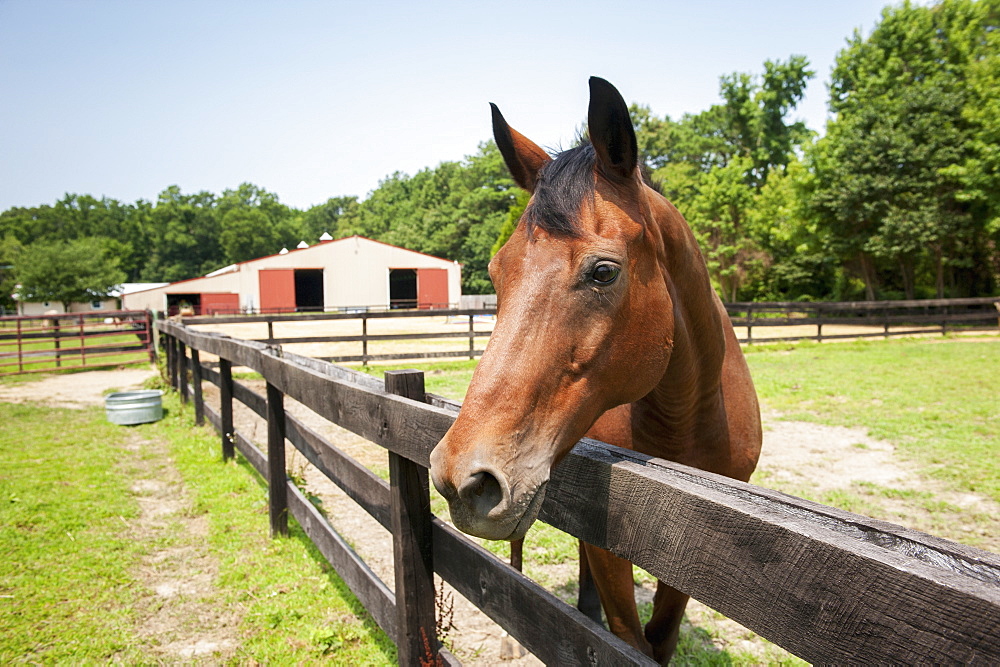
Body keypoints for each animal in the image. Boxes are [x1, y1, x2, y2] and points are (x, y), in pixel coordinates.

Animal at [426, 78, 760, 664]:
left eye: (603, 272)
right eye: (496, 271)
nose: (461, 478)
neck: (687, 425)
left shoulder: (693, 558)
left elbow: (660, 638)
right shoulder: (610, 552)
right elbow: (623, 633)